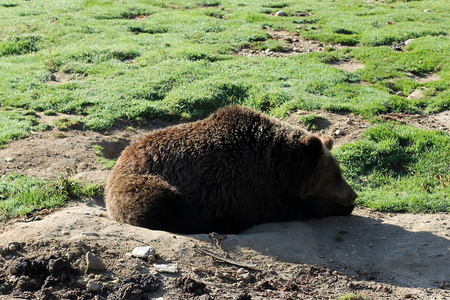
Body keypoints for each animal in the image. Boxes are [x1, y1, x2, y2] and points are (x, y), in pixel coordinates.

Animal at [103, 106, 356, 234]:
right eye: (336, 174)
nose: (353, 194)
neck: (280, 167)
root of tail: (120, 160)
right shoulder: (249, 188)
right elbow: (289, 209)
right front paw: (339, 207)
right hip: (144, 182)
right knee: (165, 203)